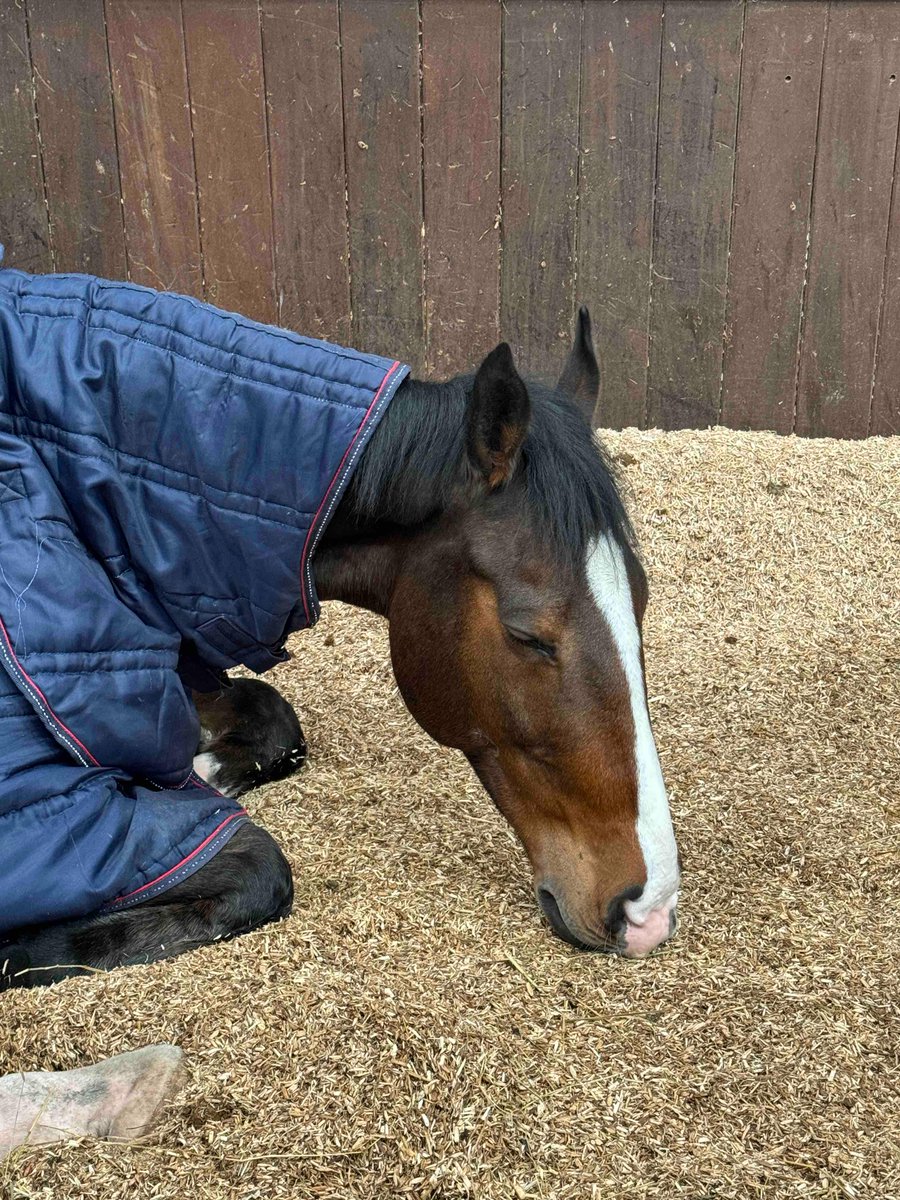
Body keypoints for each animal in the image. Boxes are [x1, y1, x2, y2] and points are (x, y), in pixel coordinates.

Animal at [0, 302, 676, 984]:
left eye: (641, 602)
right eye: (526, 634)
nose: (647, 910)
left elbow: (273, 717)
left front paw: (206, 767)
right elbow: (260, 868)